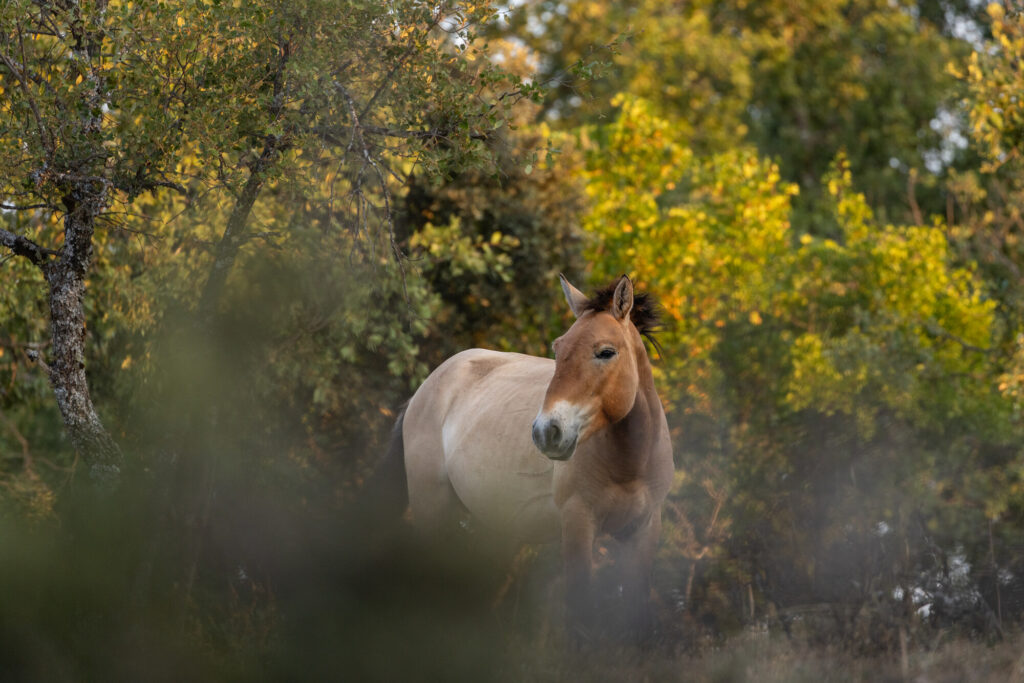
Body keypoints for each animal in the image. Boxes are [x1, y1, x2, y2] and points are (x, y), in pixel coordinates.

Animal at [389, 274, 674, 642]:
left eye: (606, 352)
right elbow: (579, 612)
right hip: (433, 510)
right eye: (558, 349)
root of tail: (423, 390)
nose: (545, 431)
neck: (630, 465)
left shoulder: (644, 529)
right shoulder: (578, 523)